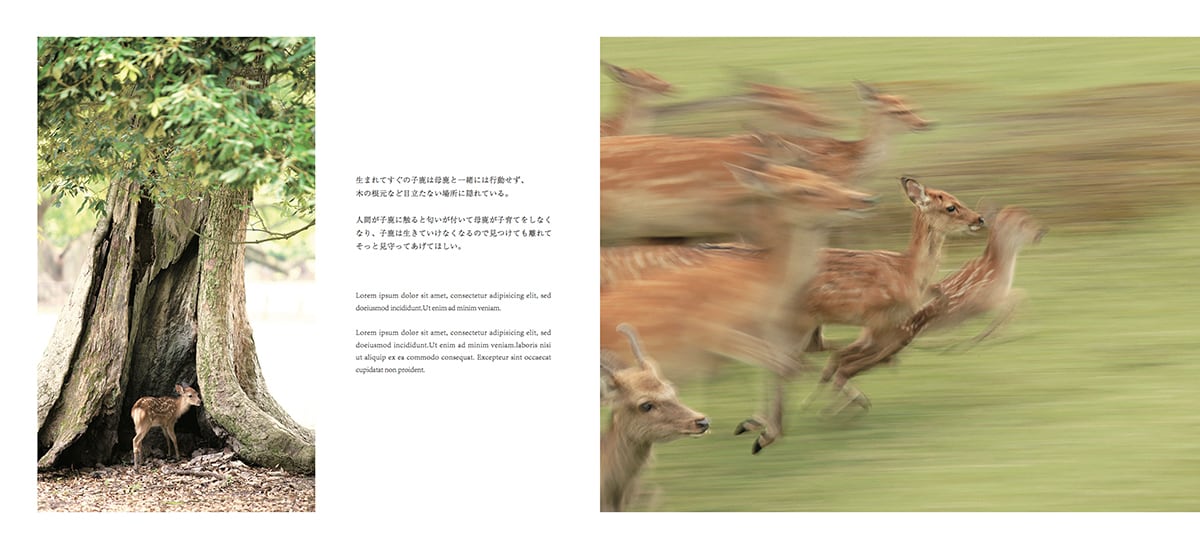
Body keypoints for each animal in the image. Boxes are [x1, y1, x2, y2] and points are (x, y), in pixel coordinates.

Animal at [601, 163, 878, 453]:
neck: (764, 282)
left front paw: (759, 426)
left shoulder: (772, 335)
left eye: (823, 177)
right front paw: (766, 429)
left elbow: (784, 367)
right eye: (805, 190)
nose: (865, 199)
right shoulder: (713, 332)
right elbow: (788, 366)